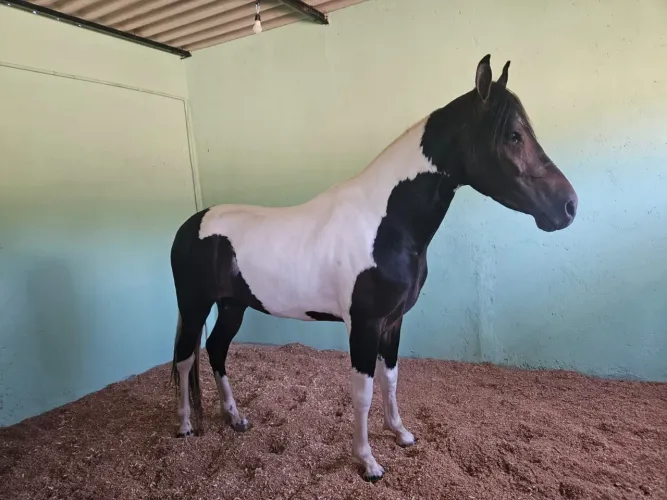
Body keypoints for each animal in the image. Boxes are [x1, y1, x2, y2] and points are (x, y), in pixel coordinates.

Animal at [169, 54, 578, 482]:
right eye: (514, 135)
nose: (569, 206)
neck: (384, 222)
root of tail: (190, 225)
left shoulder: (392, 322)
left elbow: (391, 379)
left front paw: (400, 433)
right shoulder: (363, 325)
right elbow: (362, 392)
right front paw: (367, 461)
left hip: (233, 305)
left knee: (216, 351)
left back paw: (235, 418)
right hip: (194, 305)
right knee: (184, 358)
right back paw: (185, 426)